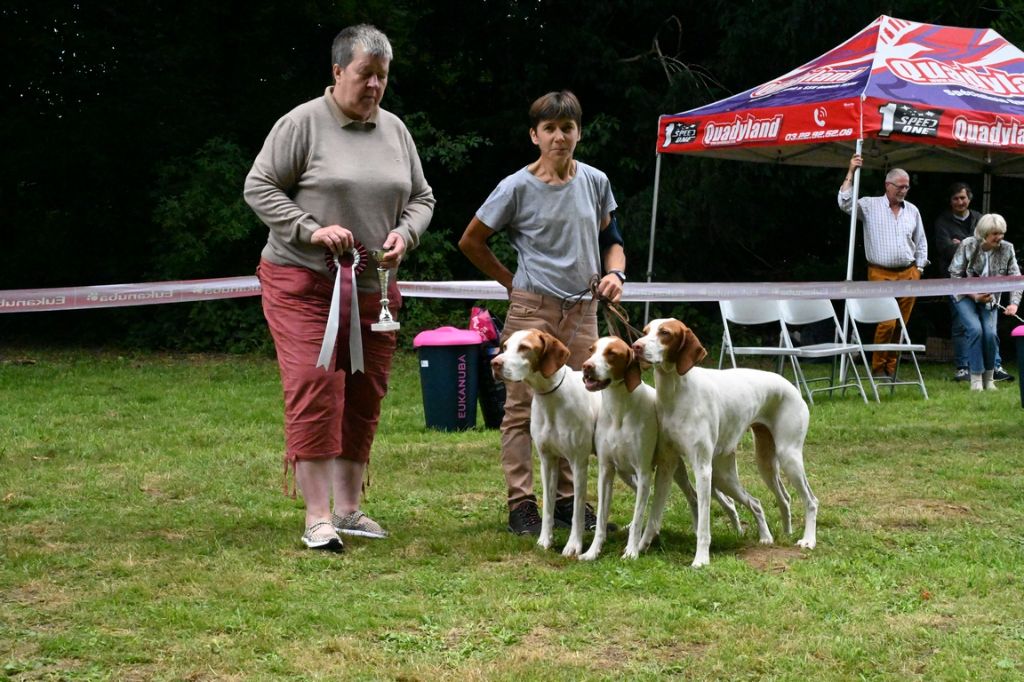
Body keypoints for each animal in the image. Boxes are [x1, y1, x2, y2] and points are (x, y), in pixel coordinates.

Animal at [489, 327, 598, 557]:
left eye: (524, 347)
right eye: (505, 347)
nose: (494, 363)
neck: (551, 397)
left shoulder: (578, 463)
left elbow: (577, 510)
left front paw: (573, 546)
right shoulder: (547, 462)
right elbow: (547, 507)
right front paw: (544, 541)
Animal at [581, 337, 741, 561]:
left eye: (612, 353)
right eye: (591, 350)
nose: (586, 366)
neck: (620, 409)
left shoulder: (644, 472)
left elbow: (639, 518)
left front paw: (631, 552)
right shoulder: (606, 471)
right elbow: (602, 521)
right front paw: (592, 552)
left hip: (693, 471)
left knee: (725, 501)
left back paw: (737, 530)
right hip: (643, 472)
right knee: (692, 497)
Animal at [630, 315, 815, 565]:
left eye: (665, 333)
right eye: (645, 331)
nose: (636, 346)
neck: (676, 392)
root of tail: (792, 387)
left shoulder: (701, 469)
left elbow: (703, 524)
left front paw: (701, 559)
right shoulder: (667, 466)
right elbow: (653, 516)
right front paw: (639, 547)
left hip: (788, 458)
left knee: (810, 501)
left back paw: (808, 540)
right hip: (748, 468)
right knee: (771, 500)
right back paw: (776, 535)